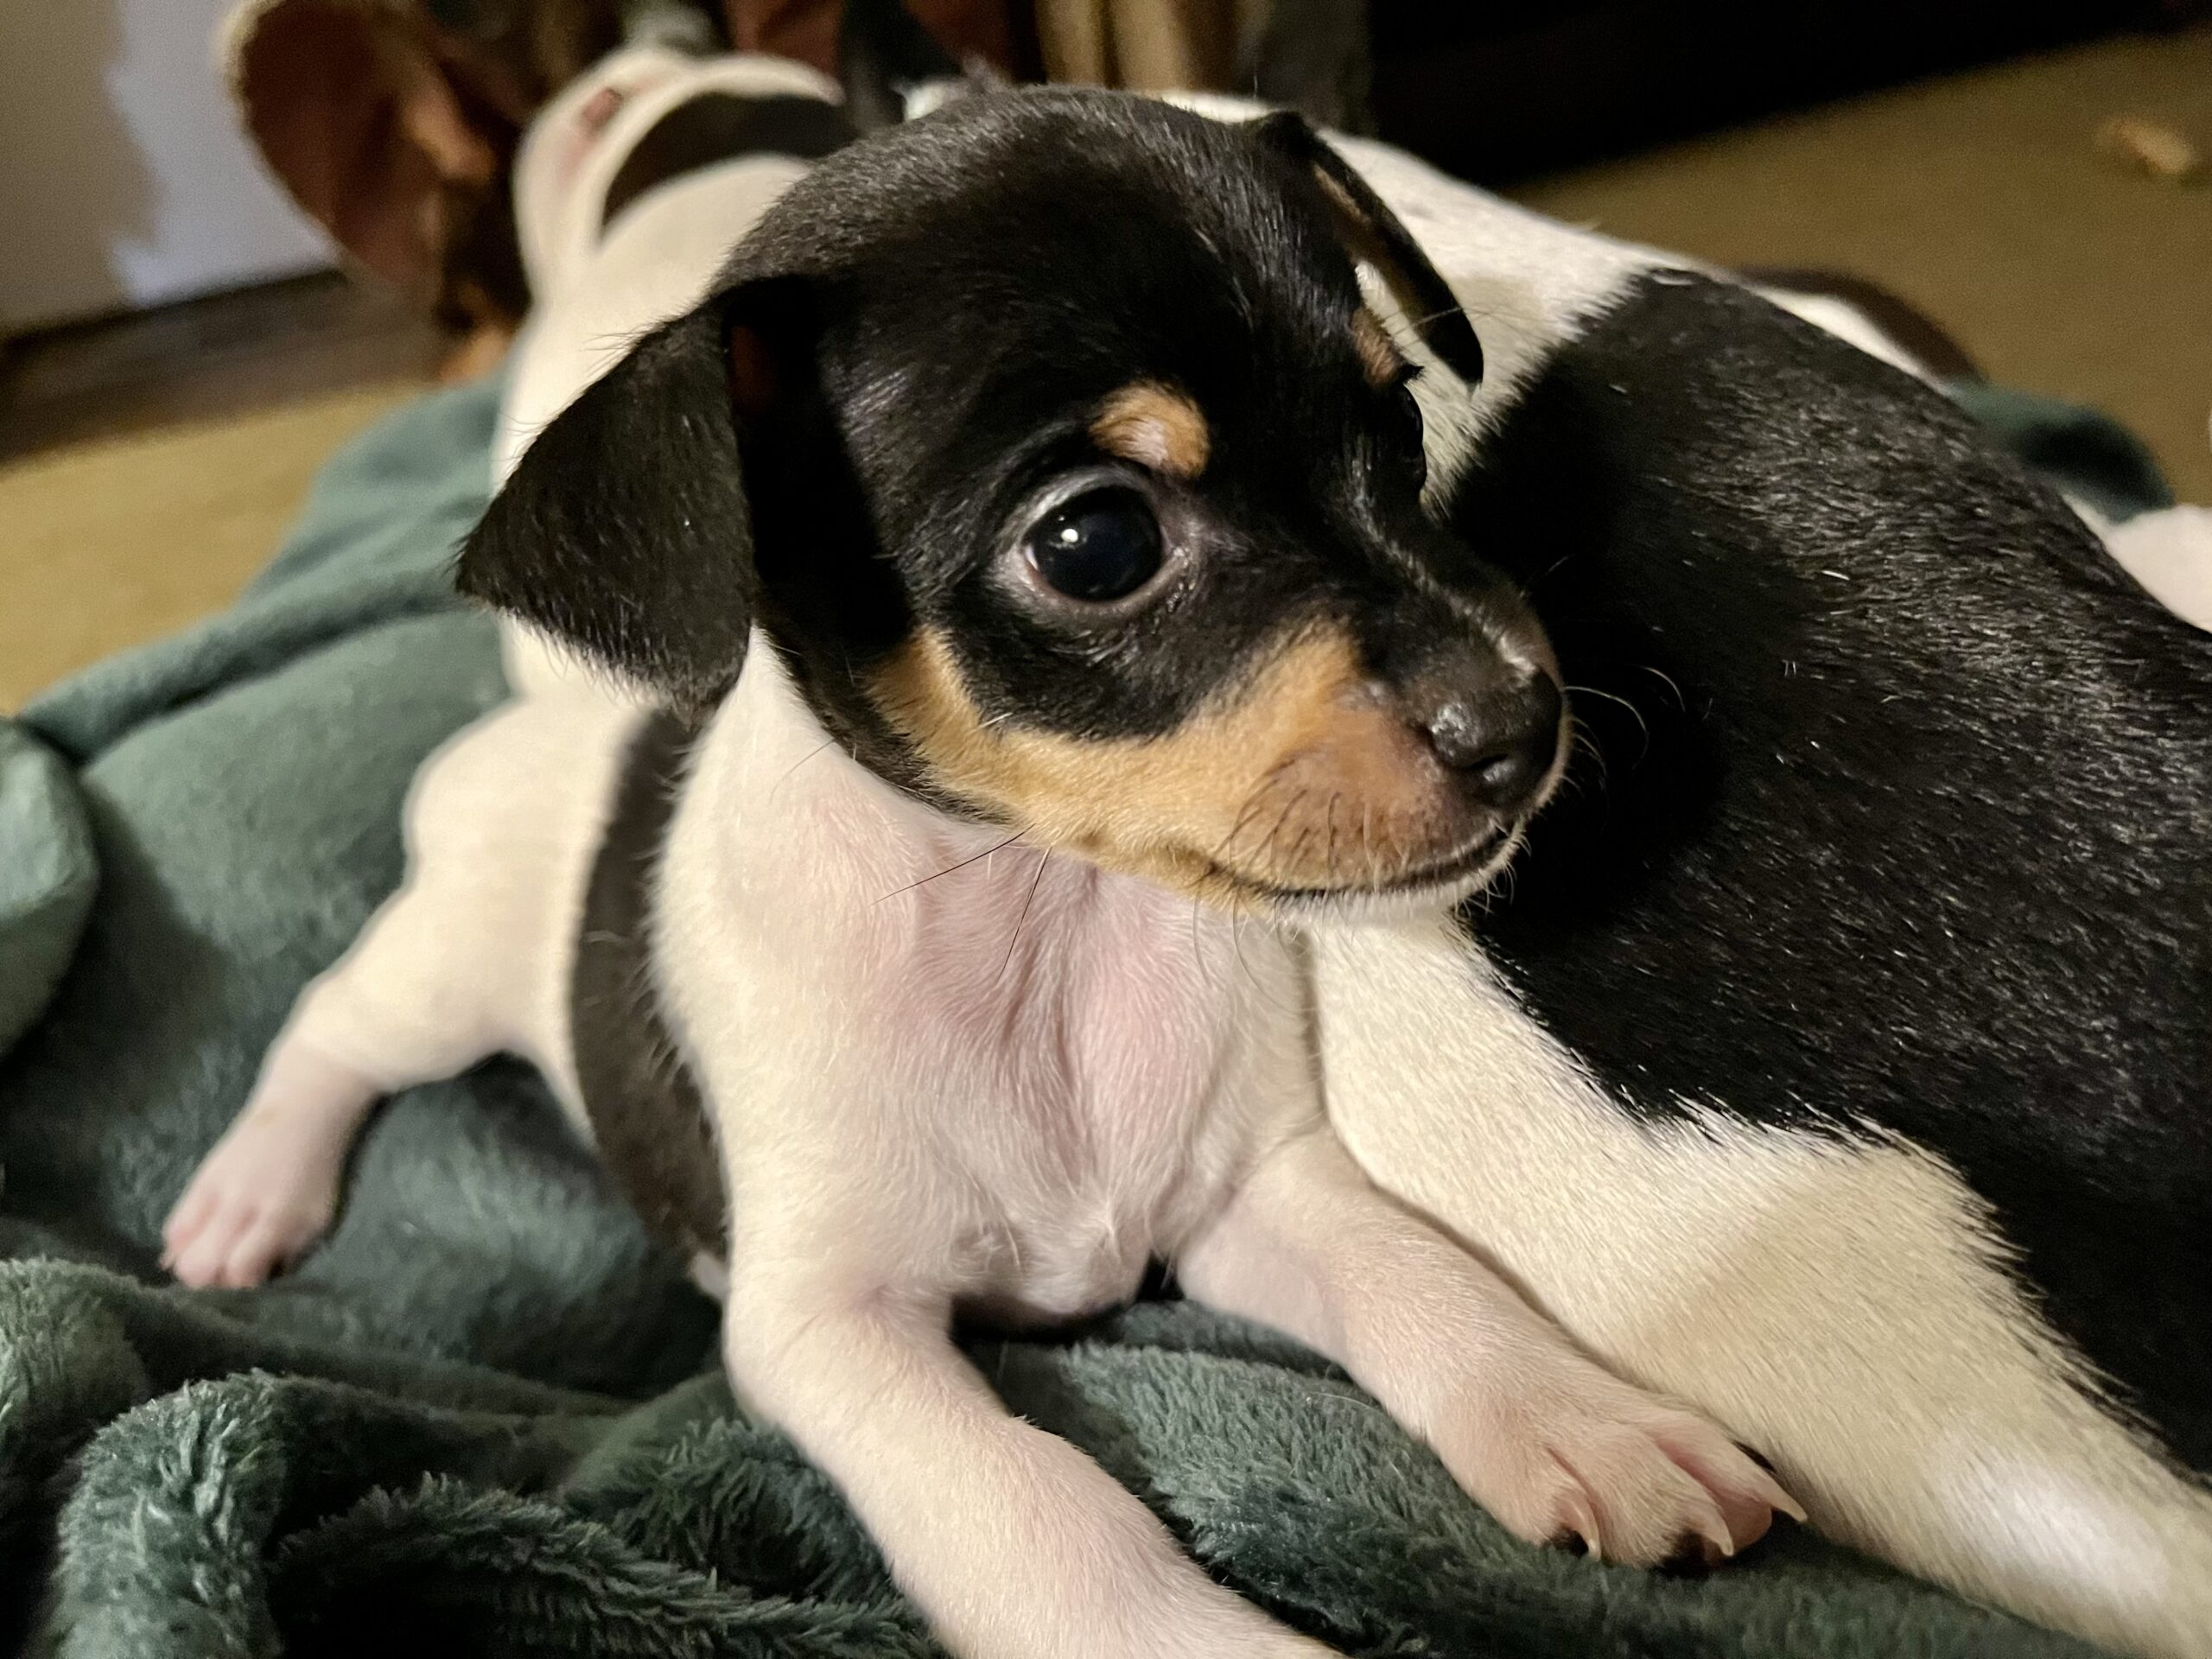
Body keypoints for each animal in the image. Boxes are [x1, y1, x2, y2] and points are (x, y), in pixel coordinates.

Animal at [160, 52, 1796, 1659]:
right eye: (1094, 544)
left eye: (1395, 429)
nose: (1523, 722)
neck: (1041, 922)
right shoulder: (830, 1328)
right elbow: (1040, 1511)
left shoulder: (1247, 1192)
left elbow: (1422, 1278)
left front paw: (1582, 1419)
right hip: (445, 973)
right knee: (330, 1023)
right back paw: (248, 1196)